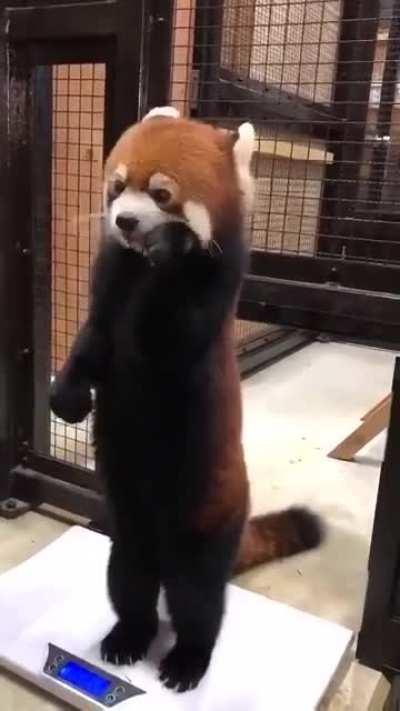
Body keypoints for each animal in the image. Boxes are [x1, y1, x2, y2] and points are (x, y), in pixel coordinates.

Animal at [51, 107, 323, 693]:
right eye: (116, 186)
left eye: (162, 194)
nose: (126, 222)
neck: (145, 273)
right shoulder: (109, 288)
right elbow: (91, 346)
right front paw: (67, 397)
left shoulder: (209, 296)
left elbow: (172, 333)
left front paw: (174, 242)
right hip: (126, 528)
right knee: (129, 581)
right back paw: (128, 636)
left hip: (206, 520)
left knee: (197, 599)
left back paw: (187, 660)